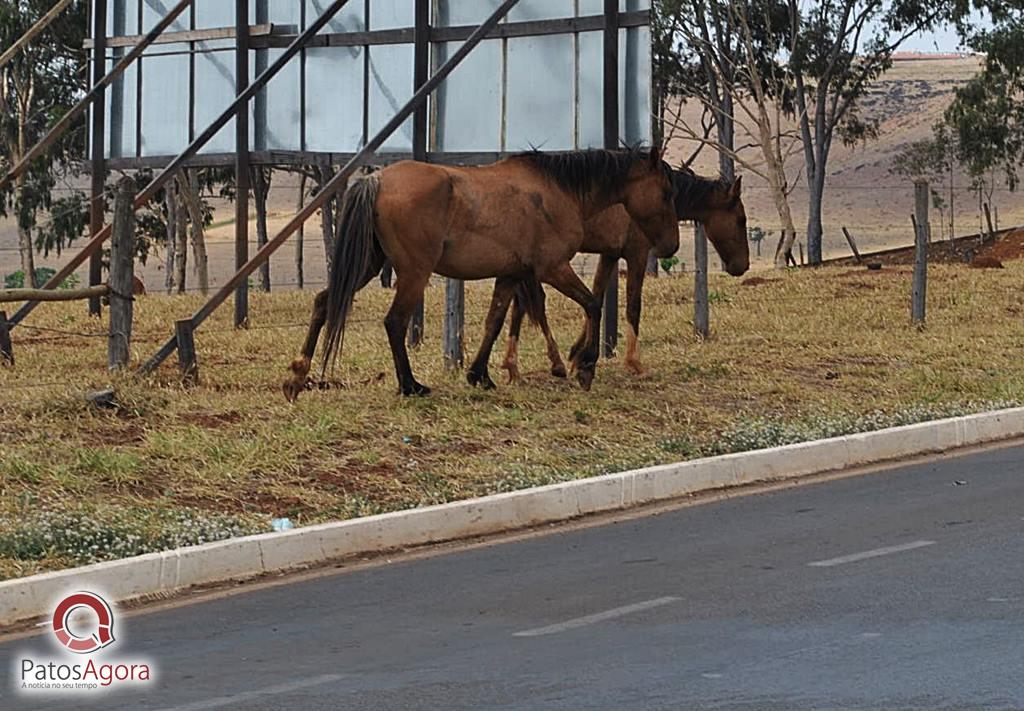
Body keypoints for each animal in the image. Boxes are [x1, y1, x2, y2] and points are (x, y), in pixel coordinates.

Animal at [284, 146, 679, 401]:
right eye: (666, 191)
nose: (671, 246)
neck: (559, 190)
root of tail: (377, 179)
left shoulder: (511, 275)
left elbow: (495, 321)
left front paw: (479, 374)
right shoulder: (552, 269)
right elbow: (593, 304)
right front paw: (585, 366)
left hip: (367, 264)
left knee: (324, 303)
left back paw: (298, 375)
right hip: (413, 273)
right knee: (395, 322)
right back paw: (411, 385)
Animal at [499, 170, 749, 385]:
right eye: (741, 219)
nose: (742, 265)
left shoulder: (609, 254)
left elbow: (596, 297)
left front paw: (578, 355)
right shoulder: (637, 255)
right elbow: (632, 306)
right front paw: (633, 362)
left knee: (520, 306)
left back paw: (515, 367)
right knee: (526, 305)